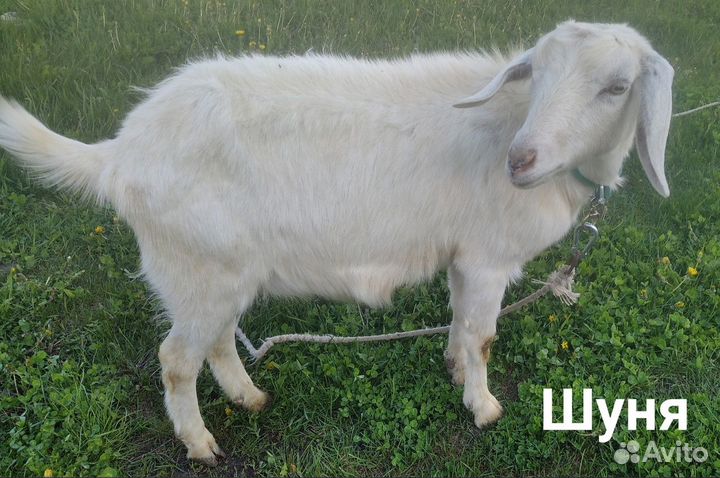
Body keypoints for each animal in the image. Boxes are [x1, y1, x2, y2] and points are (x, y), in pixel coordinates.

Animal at [0, 20, 673, 465]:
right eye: (538, 76)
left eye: (617, 88)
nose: (520, 161)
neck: (505, 123)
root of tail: (121, 153)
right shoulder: (488, 258)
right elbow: (483, 335)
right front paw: (484, 408)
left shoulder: (463, 256)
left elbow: (460, 324)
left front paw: (455, 369)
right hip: (197, 266)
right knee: (175, 358)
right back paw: (200, 444)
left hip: (222, 272)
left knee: (216, 339)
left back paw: (249, 397)